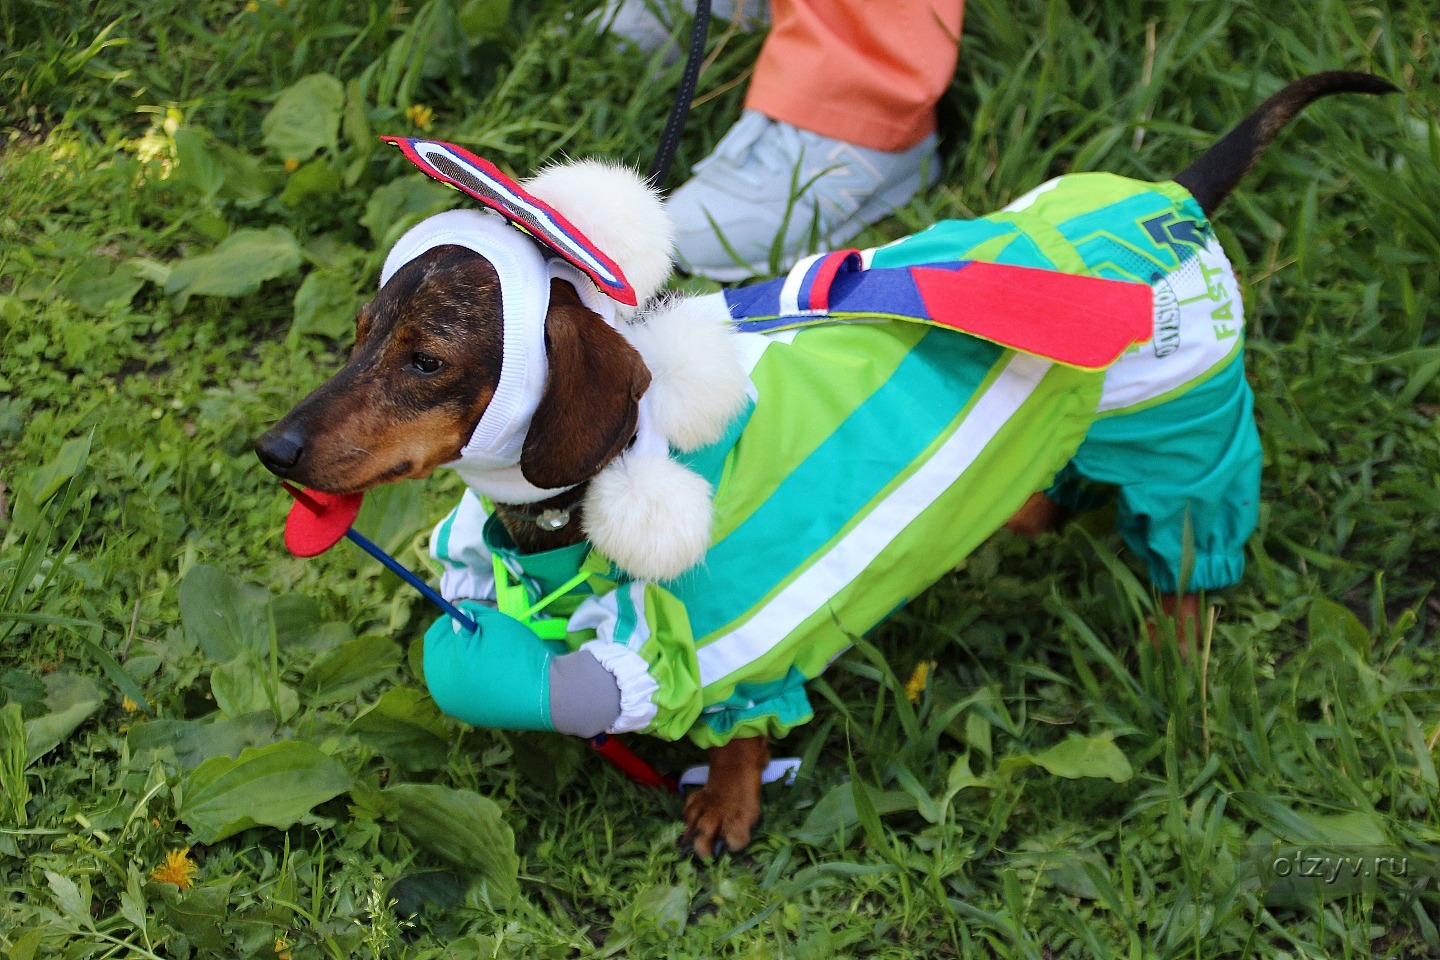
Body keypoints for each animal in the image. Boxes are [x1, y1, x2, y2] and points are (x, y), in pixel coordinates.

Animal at [256, 73, 1393, 857]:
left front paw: (724, 804)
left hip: (1184, 438)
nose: (273, 449)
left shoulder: (745, 645)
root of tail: (1168, 194)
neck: (610, 472)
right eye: (358, 336)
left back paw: (1174, 647)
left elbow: (742, 731)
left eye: (427, 361)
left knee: (1191, 555)